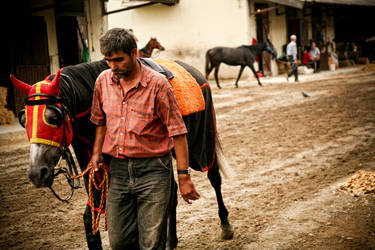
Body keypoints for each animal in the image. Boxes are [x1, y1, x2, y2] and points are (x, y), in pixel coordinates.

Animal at [10, 58, 234, 248]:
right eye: (24, 119)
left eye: (53, 117)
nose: (37, 173)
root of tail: (196, 73)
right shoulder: (94, 167)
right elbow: (91, 216)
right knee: (171, 194)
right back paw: (172, 240)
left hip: (202, 141)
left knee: (213, 177)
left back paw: (225, 224)